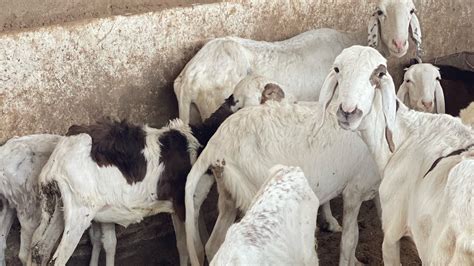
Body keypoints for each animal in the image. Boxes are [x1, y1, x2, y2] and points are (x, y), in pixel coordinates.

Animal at [183, 98, 380, 266]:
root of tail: (215, 145)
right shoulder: (355, 190)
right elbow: (350, 239)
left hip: (229, 190)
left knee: (213, 243)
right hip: (254, 191)